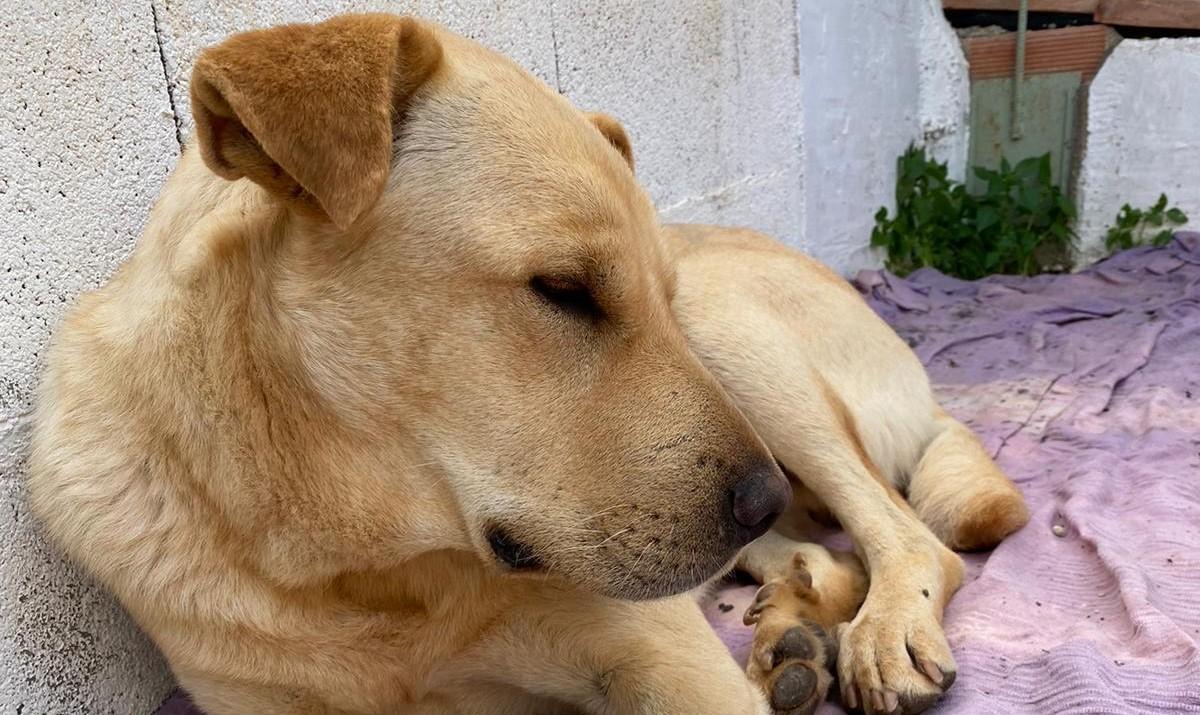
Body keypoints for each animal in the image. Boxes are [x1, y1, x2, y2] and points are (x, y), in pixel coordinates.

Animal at [28, 12, 1022, 715]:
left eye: (652, 295)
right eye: (565, 288)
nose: (761, 495)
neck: (372, 575)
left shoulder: (661, 660)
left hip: (733, 332)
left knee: (909, 534)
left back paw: (875, 628)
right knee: (828, 553)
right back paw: (792, 623)